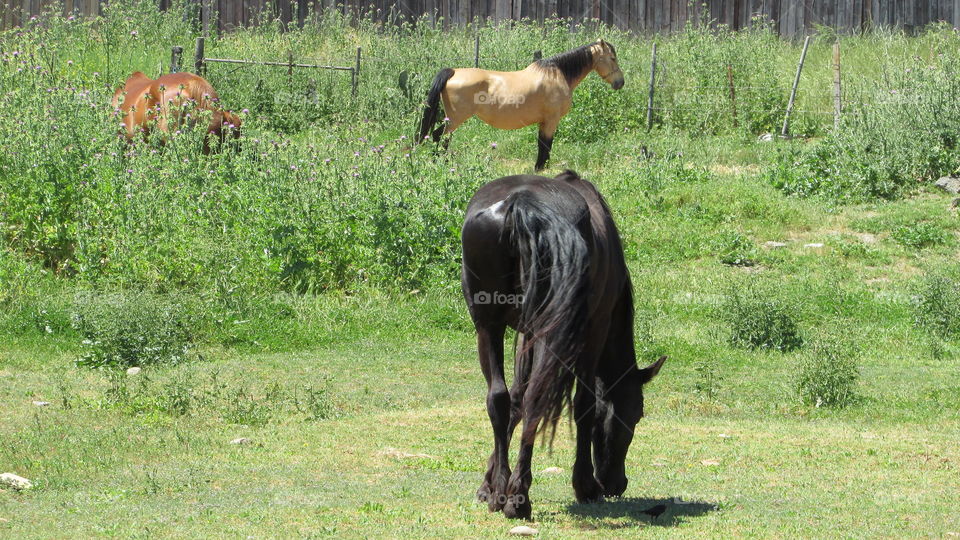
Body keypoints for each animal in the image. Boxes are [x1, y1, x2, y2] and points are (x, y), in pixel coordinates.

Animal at [417, 40, 624, 170]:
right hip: (454, 119)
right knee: (438, 136)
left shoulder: (544, 122)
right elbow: (545, 144)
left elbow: (542, 143)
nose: (620, 83)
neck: (557, 75)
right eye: (612, 58)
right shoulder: (551, 120)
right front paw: (541, 168)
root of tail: (453, 72)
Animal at [461, 169, 666, 520]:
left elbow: (515, 401)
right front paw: (585, 486)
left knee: (500, 398)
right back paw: (519, 499)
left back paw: (501, 493)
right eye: (636, 414)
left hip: (489, 326)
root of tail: (519, 204)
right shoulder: (593, 331)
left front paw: (488, 483)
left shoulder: (527, 334)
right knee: (537, 399)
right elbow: (584, 405)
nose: (617, 484)